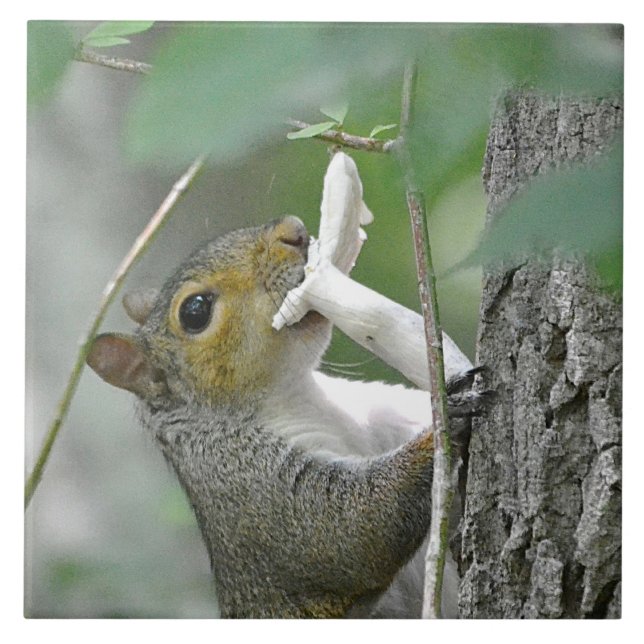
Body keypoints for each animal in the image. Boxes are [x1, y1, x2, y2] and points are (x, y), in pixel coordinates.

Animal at [86, 215, 482, 618]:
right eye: (194, 311)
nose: (292, 230)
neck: (296, 394)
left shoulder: (380, 413)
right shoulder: (248, 483)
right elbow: (350, 528)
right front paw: (444, 420)